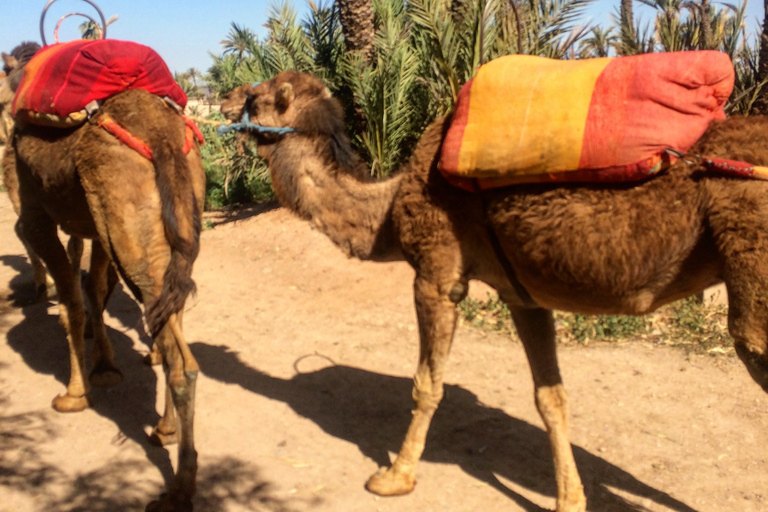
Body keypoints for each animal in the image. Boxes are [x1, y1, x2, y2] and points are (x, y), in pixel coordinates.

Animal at [3, 42, 206, 510]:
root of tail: (162, 136)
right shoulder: (95, 226)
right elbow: (94, 289)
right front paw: (105, 366)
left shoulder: (35, 216)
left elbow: (74, 301)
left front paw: (74, 393)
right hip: (166, 224)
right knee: (170, 315)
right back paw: (164, 430)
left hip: (125, 224)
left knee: (178, 356)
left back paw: (177, 491)